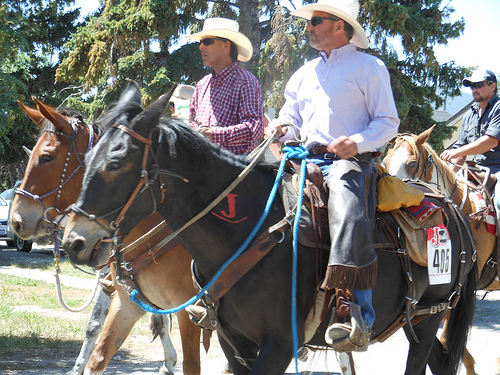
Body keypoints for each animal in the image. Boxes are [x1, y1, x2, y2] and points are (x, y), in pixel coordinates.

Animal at [9, 99, 201, 375]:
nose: (16, 220)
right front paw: (77, 368)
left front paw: (169, 361)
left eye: (46, 157)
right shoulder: (118, 287)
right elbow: (96, 327)